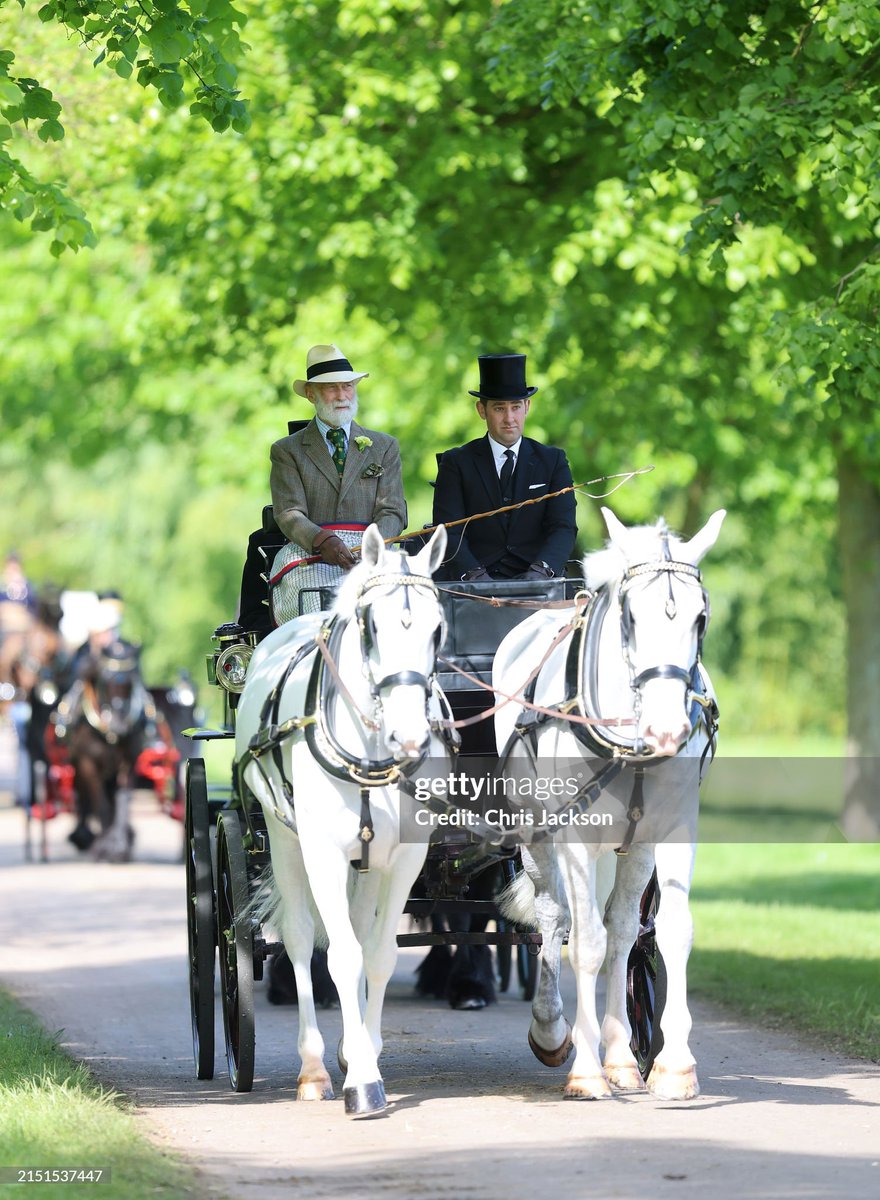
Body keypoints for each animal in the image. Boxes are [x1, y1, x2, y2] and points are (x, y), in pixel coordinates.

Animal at [54, 638, 151, 864]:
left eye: (134, 677)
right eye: (105, 679)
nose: (120, 724)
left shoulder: (129, 763)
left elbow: (122, 800)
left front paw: (120, 847)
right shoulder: (87, 764)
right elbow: (102, 805)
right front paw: (103, 848)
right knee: (87, 799)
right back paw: (83, 837)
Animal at [232, 525, 449, 1113]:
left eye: (438, 628)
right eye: (372, 625)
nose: (410, 737)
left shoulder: (404, 857)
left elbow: (376, 955)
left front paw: (365, 1056)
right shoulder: (323, 852)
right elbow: (340, 955)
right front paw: (361, 1085)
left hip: (367, 861)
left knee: (353, 928)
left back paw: (351, 1050)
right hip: (285, 838)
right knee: (302, 938)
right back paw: (312, 1069)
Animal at [489, 501, 725, 1099]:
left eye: (700, 618)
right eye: (631, 617)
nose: (666, 730)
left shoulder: (671, 831)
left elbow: (666, 932)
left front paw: (672, 1066)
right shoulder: (572, 834)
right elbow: (584, 942)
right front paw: (586, 1069)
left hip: (631, 846)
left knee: (622, 933)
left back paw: (621, 1054)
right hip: (537, 834)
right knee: (555, 919)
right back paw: (552, 1029)